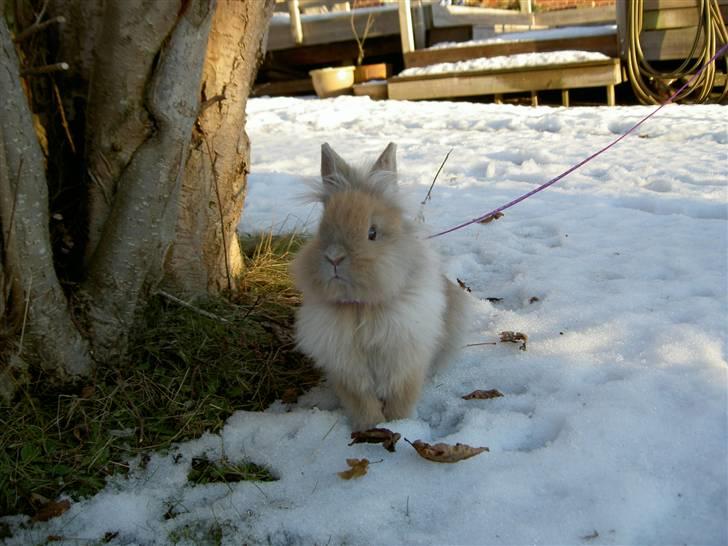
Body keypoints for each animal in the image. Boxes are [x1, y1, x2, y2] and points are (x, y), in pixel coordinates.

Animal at [290, 142, 472, 432]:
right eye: (322, 229)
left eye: (372, 233)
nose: (334, 257)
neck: (360, 306)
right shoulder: (348, 369)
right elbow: (362, 402)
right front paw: (371, 428)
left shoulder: (404, 360)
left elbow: (401, 395)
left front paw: (399, 425)